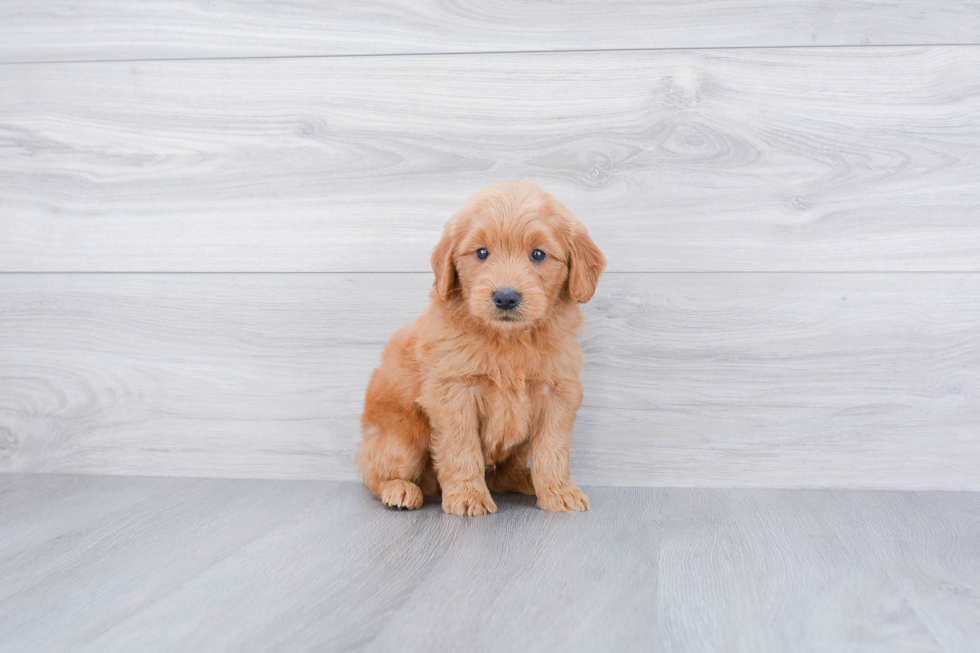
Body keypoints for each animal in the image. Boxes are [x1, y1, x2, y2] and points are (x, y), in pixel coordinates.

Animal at [356, 180, 604, 516]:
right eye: (482, 253)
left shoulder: (558, 390)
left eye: (538, 254)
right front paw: (468, 496)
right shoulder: (454, 392)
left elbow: (552, 448)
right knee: (374, 473)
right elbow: (462, 448)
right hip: (402, 440)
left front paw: (558, 491)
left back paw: (525, 478)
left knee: (502, 473)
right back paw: (399, 489)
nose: (506, 297)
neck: (508, 339)